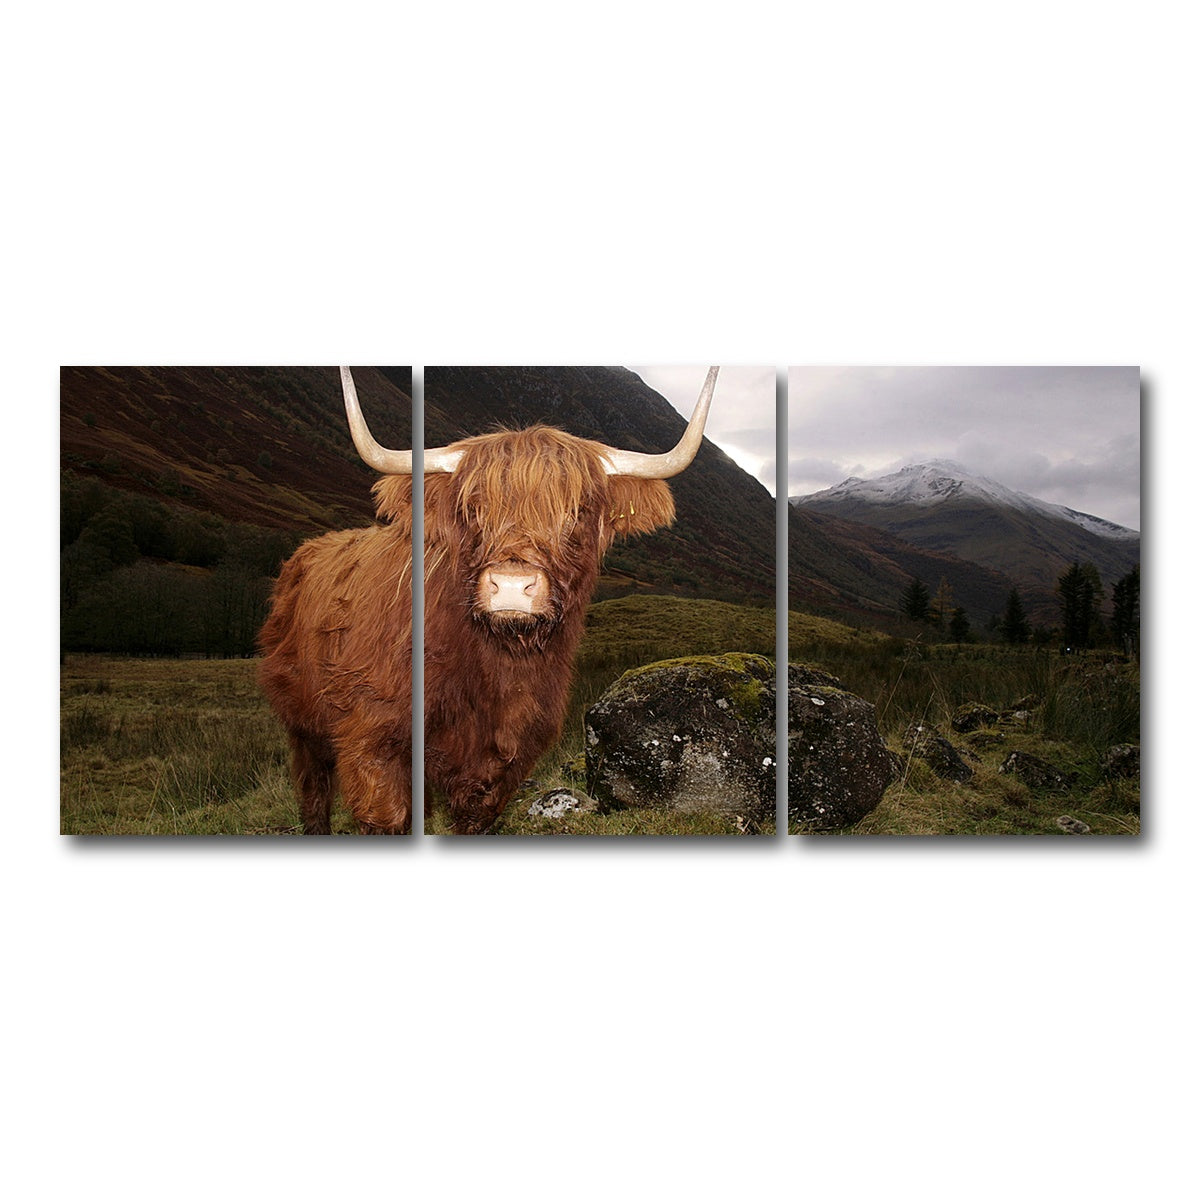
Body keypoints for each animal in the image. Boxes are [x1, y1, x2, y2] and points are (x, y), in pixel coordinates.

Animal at [258, 365, 718, 834]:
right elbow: (386, 817)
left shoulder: (502, 762)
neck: (492, 669)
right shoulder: (372, 742)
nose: (512, 586)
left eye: (576, 513)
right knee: (313, 789)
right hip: (302, 723)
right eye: (473, 510)